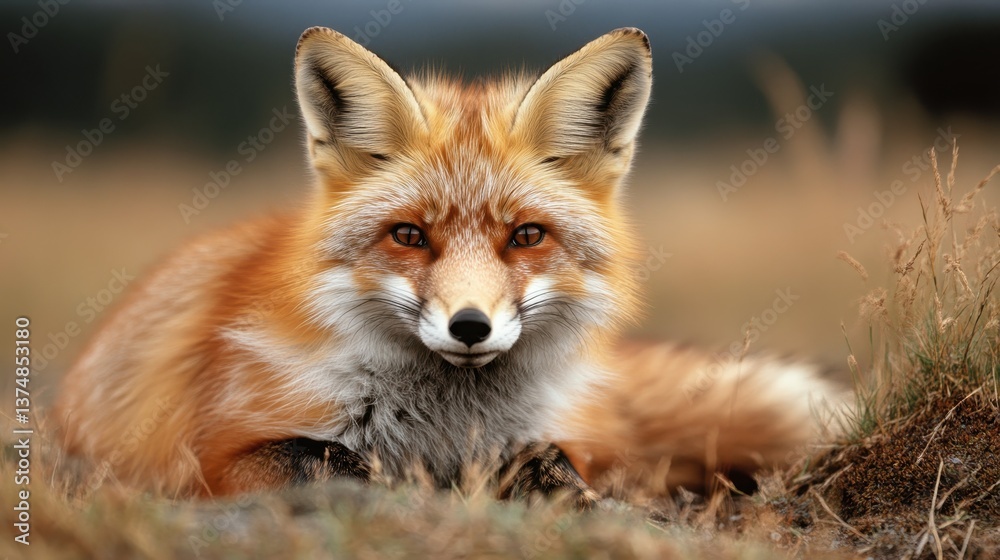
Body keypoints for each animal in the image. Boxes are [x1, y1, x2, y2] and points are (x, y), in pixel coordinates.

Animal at [55, 27, 842, 504]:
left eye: (525, 236)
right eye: (409, 235)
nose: (470, 327)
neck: (441, 424)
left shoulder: (535, 440)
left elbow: (558, 466)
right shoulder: (219, 454)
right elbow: (331, 462)